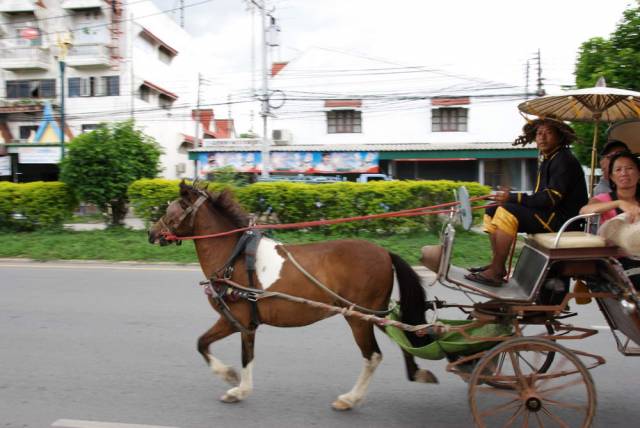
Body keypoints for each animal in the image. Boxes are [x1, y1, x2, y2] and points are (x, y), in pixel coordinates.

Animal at [148, 182, 438, 410]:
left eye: (170, 211)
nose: (151, 233)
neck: (234, 255)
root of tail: (384, 253)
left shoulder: (236, 318)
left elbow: (210, 346)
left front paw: (231, 379)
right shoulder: (244, 323)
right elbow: (232, 350)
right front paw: (239, 387)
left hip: (358, 316)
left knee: (373, 356)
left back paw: (350, 398)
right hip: (374, 314)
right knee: (406, 335)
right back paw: (416, 372)